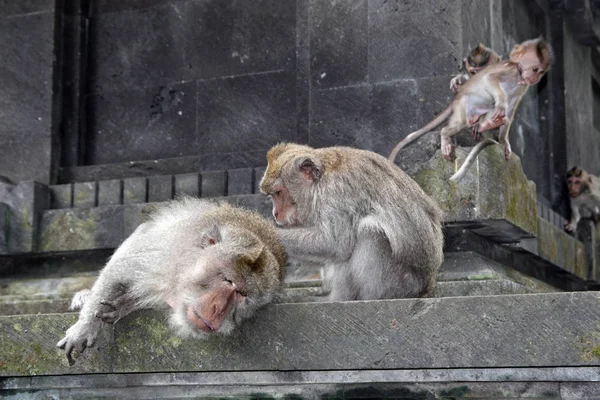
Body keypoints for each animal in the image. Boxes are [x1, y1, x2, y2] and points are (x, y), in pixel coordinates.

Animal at [57, 198, 288, 366]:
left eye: (242, 295)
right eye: (228, 280)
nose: (219, 309)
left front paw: (124, 305)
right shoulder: (163, 257)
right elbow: (118, 272)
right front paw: (84, 326)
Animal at [260, 143, 442, 300]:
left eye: (278, 193)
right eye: (272, 195)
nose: (275, 213)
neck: (322, 178)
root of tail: (427, 286)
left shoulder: (335, 193)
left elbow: (334, 244)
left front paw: (259, 230)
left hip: (401, 283)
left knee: (369, 231)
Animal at [392, 37, 556, 181]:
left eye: (541, 72)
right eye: (535, 69)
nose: (536, 79)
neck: (519, 76)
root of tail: (457, 99)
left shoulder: (522, 87)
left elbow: (511, 109)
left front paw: (504, 140)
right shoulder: (510, 71)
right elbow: (490, 79)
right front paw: (500, 104)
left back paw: (486, 125)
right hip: (463, 107)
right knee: (456, 124)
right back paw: (446, 135)